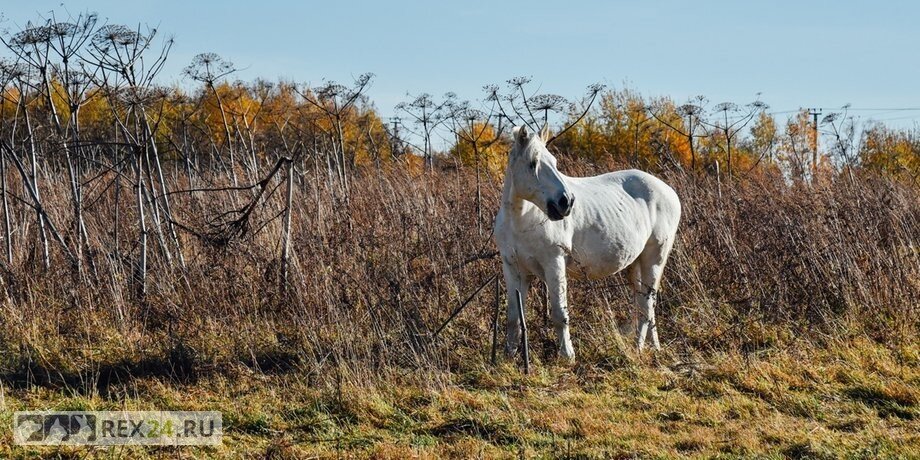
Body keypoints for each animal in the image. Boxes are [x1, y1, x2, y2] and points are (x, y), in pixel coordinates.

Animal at [496, 125, 684, 360]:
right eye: (533, 163)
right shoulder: (513, 269)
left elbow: (559, 314)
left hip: (655, 258)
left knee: (647, 304)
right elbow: (513, 318)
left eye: (554, 162)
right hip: (635, 264)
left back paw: (639, 348)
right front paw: (508, 356)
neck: (520, 221)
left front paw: (567, 355)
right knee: (642, 304)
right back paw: (650, 346)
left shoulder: (554, 264)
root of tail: (669, 191)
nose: (566, 202)